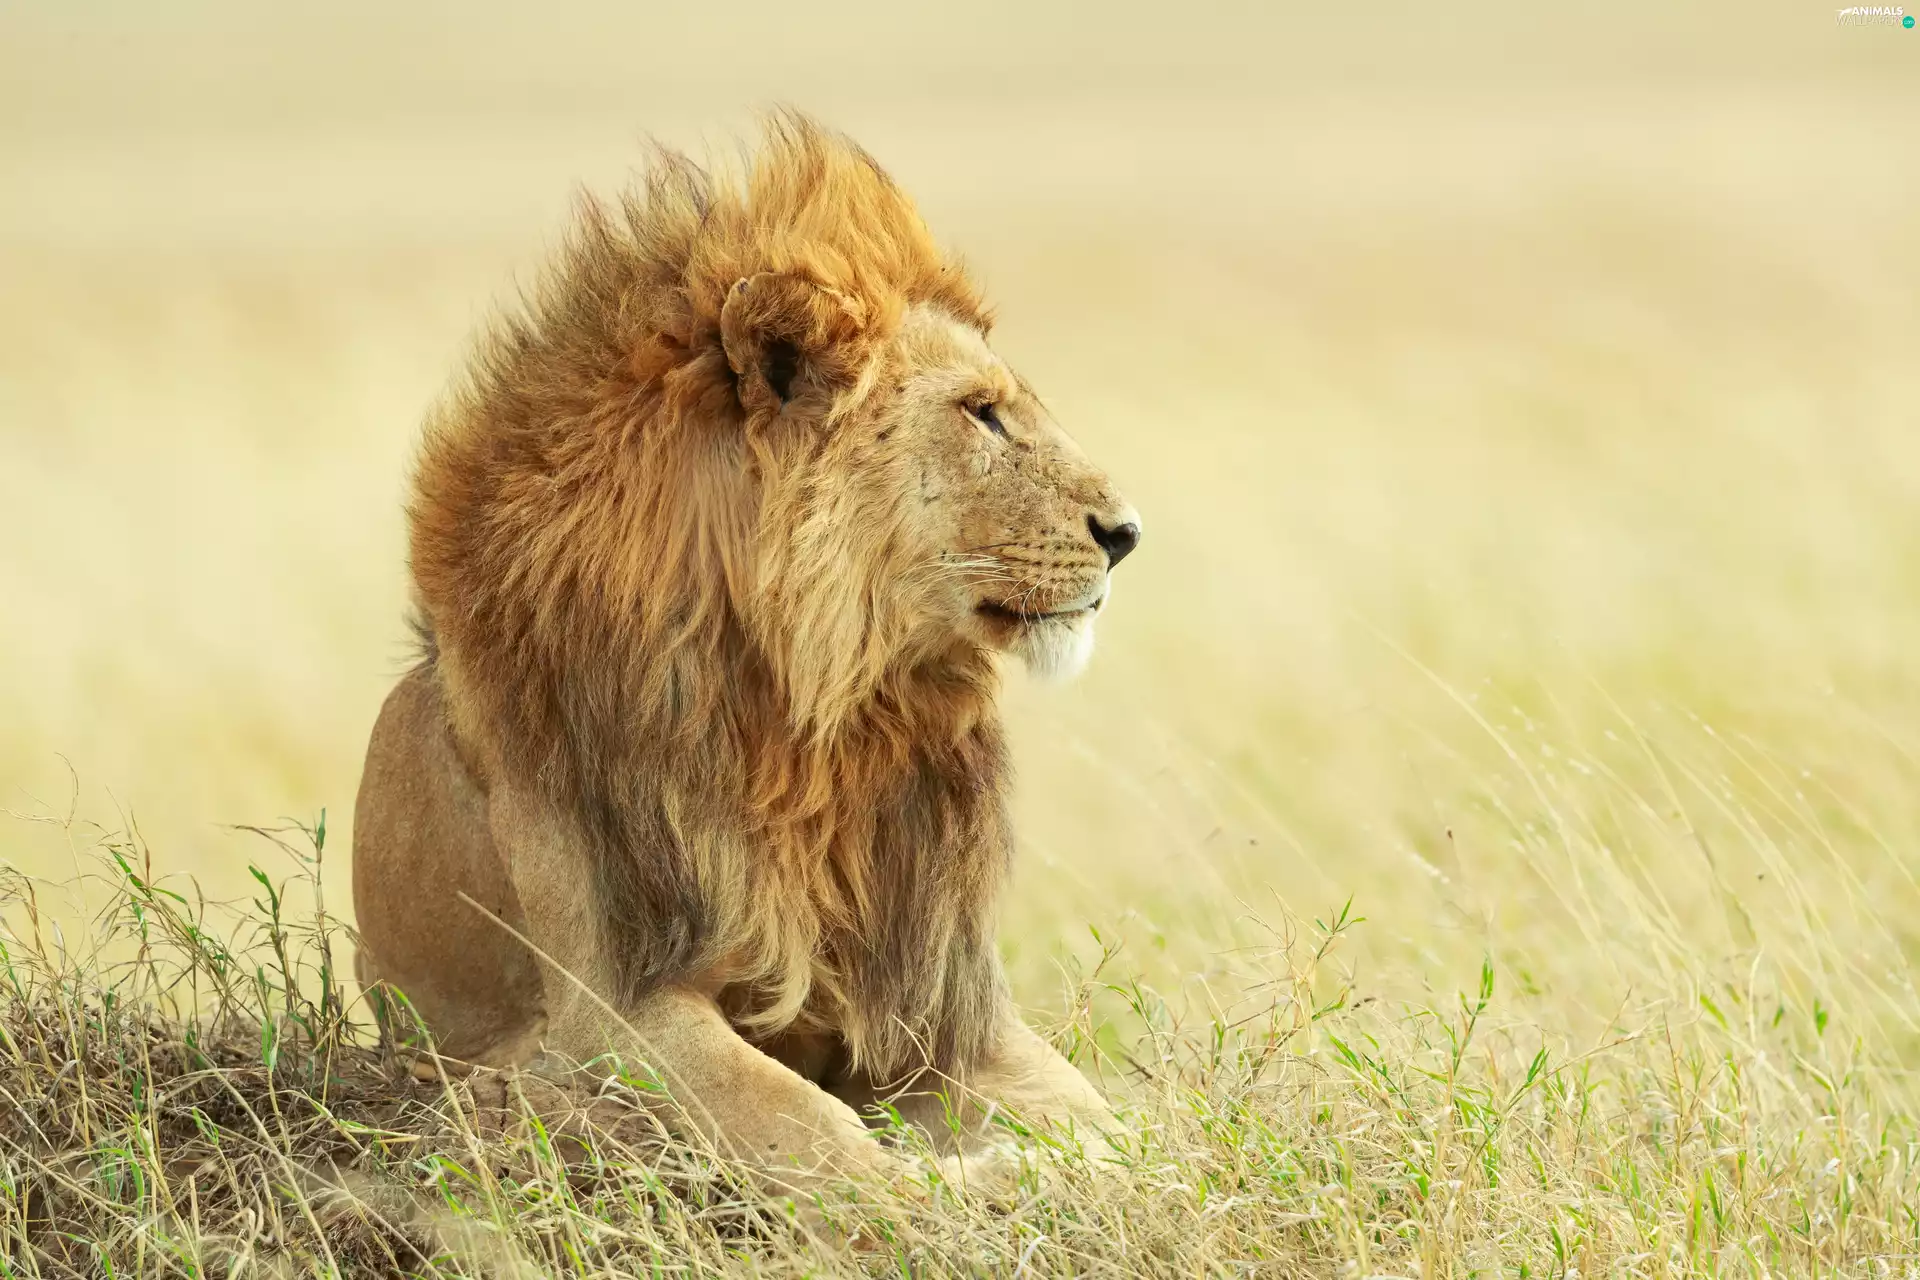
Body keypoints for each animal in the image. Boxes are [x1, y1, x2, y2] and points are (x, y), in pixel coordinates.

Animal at [351, 114, 1143, 1192]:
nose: (1128, 532)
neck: (820, 715)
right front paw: (948, 1182)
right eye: (981, 411)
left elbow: (1113, 1128)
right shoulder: (609, 1013)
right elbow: (814, 1133)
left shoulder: (944, 1008)